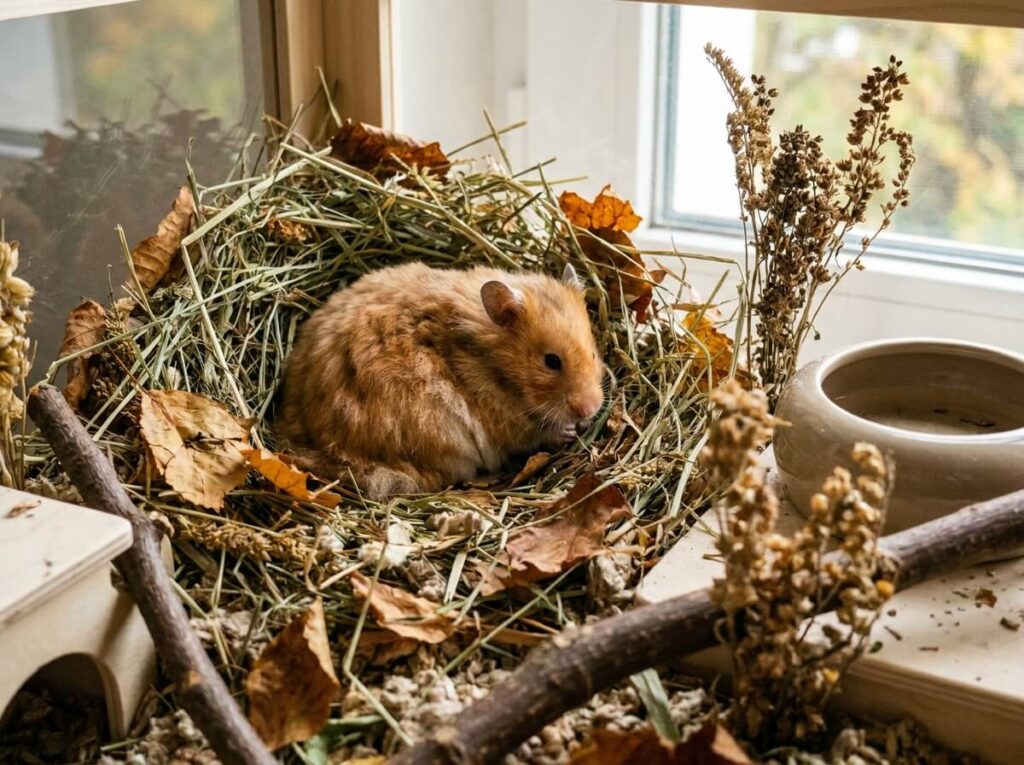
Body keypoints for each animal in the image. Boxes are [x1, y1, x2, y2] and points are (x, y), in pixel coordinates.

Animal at [277, 262, 606, 499]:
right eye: (552, 361)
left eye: (592, 352)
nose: (590, 410)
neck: (495, 368)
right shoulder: (505, 424)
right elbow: (535, 434)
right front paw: (568, 431)